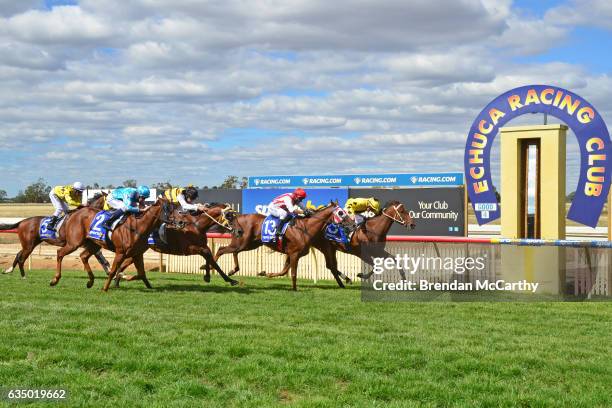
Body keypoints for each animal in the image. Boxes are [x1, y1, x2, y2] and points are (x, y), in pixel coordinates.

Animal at [258, 201, 416, 286]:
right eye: (403, 211)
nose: (412, 224)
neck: (373, 230)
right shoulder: (361, 253)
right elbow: (375, 266)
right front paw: (361, 275)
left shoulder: (378, 251)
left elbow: (394, 259)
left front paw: (404, 279)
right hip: (325, 246)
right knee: (330, 265)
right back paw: (347, 279)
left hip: (330, 248)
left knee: (331, 265)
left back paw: (345, 279)